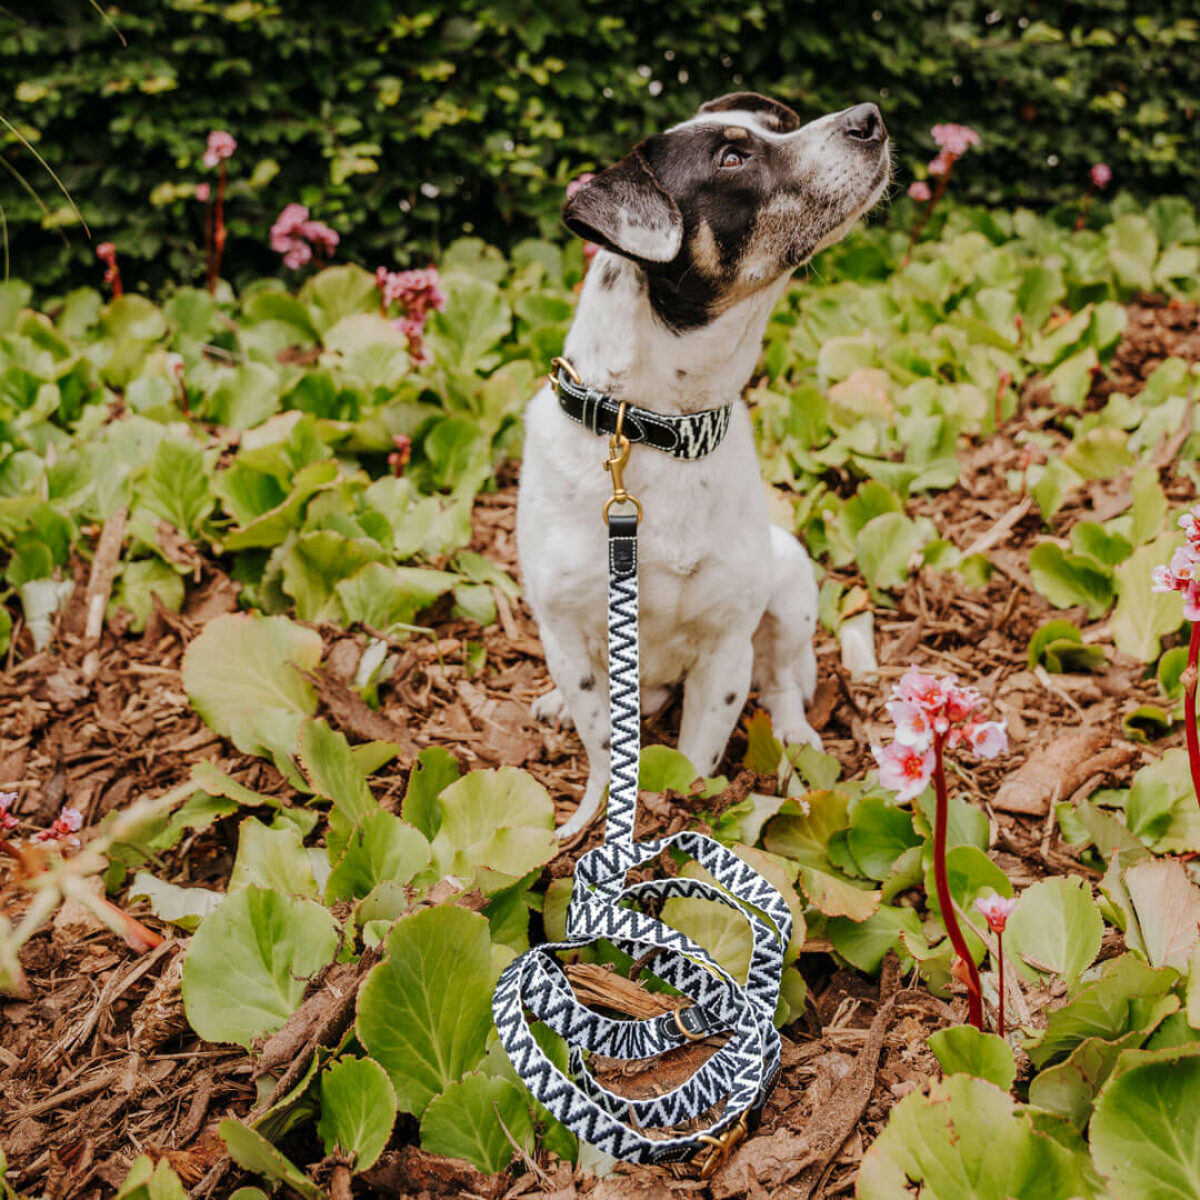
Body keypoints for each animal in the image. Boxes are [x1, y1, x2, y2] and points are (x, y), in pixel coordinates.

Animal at [516, 91, 892, 835]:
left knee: (783, 682)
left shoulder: (726, 649)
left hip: (790, 587)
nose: (869, 116)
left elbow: (695, 761)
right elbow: (603, 747)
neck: (659, 428)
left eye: (780, 126)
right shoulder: (568, 637)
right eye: (732, 158)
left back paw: (798, 737)